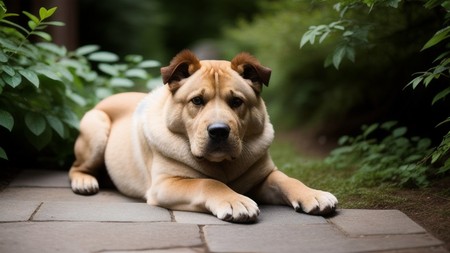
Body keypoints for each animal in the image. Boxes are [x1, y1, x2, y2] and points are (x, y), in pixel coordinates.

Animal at [68, 50, 338, 222]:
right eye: (197, 101)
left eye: (236, 102)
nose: (219, 130)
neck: (224, 166)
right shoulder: (165, 184)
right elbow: (207, 182)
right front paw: (235, 201)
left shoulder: (264, 175)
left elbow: (288, 180)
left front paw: (313, 194)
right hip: (97, 129)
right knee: (76, 166)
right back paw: (85, 182)